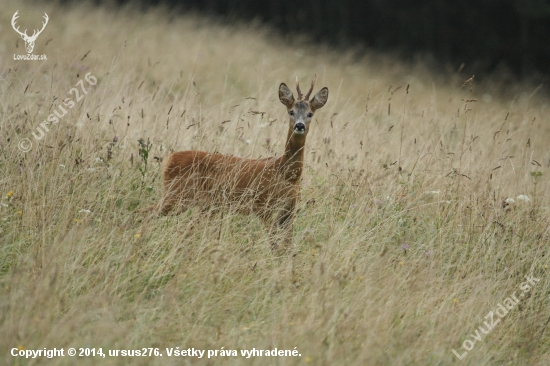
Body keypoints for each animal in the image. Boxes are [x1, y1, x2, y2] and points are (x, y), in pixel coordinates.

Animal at [156, 77, 328, 254]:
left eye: (310, 114)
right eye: (291, 111)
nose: (299, 126)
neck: (285, 174)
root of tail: (169, 158)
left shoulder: (289, 210)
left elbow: (287, 245)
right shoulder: (262, 205)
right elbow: (273, 243)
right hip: (176, 194)